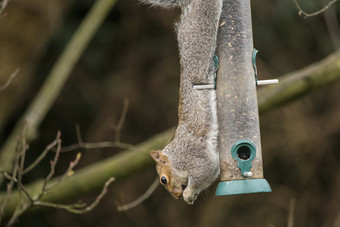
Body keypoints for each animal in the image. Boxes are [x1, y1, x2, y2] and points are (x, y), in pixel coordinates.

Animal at [139, 0, 222, 205]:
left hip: (199, 35)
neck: (176, 155)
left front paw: (188, 194)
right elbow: (213, 170)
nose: (176, 196)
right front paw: (190, 196)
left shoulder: (193, 157)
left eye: (163, 179)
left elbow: (205, 169)